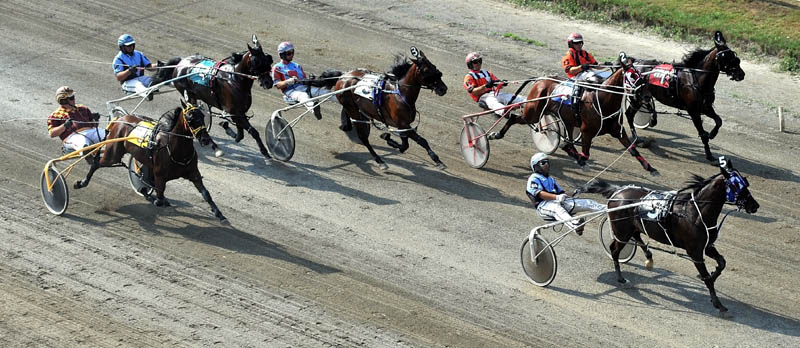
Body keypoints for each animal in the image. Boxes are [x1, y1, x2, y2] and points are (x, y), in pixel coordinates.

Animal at [73, 99, 227, 222]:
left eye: (202, 116)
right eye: (190, 118)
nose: (205, 139)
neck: (174, 148)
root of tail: (120, 119)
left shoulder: (193, 173)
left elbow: (206, 194)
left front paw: (219, 214)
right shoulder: (160, 175)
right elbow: (158, 199)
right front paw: (150, 195)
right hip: (112, 154)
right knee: (96, 164)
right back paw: (82, 182)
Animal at [153, 34, 276, 162]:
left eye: (268, 59)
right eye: (256, 61)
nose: (268, 83)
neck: (234, 79)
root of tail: (181, 63)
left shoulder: (238, 112)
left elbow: (240, 133)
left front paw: (228, 128)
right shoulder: (234, 112)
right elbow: (253, 131)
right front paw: (265, 152)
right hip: (189, 95)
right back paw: (215, 147)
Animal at [494, 51, 656, 174]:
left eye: (642, 75)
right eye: (632, 76)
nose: (647, 96)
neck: (602, 99)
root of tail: (541, 80)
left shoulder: (617, 130)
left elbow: (633, 149)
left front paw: (650, 167)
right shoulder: (586, 132)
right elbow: (583, 155)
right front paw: (577, 158)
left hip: (566, 120)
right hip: (532, 112)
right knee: (513, 117)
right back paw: (496, 134)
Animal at [580, 156, 756, 312]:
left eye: (745, 182)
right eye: (736, 185)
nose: (755, 205)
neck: (695, 213)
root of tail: (618, 190)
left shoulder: (707, 246)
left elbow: (721, 263)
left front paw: (711, 275)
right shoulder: (695, 252)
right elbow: (708, 277)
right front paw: (717, 303)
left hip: (633, 227)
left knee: (636, 238)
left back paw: (649, 258)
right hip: (622, 231)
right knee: (615, 250)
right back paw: (620, 278)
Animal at [636, 30, 748, 161]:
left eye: (736, 58)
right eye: (726, 57)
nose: (741, 74)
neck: (697, 80)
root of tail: (637, 63)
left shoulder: (705, 107)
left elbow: (719, 121)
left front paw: (712, 134)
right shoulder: (693, 111)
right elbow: (703, 134)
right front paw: (709, 155)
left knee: (647, 103)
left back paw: (653, 119)